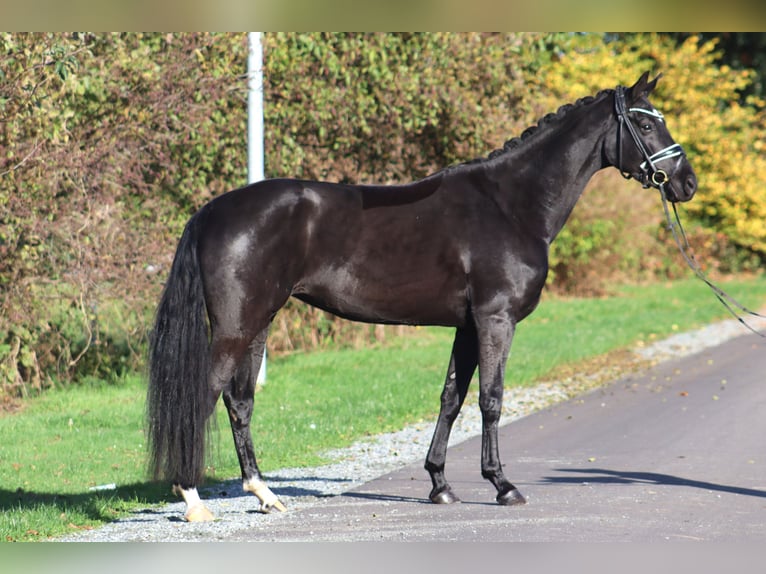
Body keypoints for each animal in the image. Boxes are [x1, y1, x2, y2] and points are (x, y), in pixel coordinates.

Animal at [147, 72, 700, 520]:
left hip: (258, 322)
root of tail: (210, 212)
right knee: (205, 395)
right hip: (236, 327)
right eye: (645, 124)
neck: (510, 205)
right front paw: (503, 486)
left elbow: (451, 399)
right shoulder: (495, 320)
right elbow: (491, 399)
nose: (687, 183)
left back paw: (264, 494)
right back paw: (192, 499)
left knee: (239, 401)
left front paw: (439, 484)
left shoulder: (467, 325)